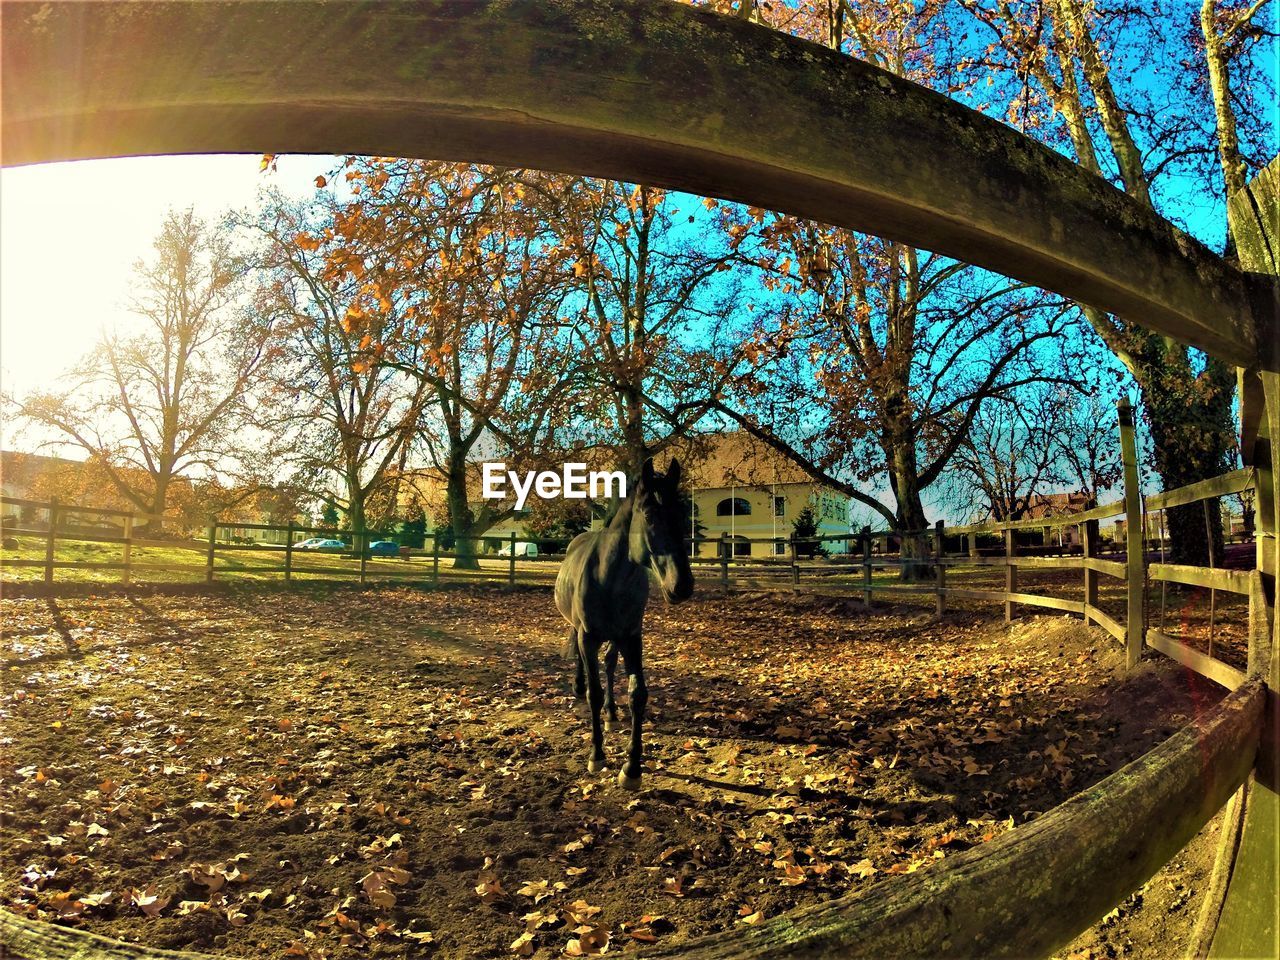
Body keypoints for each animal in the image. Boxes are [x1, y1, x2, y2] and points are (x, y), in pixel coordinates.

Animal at [555, 458, 696, 788]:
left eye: (682, 514)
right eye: (649, 514)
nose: (682, 585)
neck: (609, 577)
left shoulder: (632, 637)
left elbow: (637, 694)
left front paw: (632, 767)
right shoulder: (588, 636)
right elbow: (594, 692)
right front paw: (597, 755)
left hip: (617, 637)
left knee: (608, 665)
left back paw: (611, 713)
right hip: (580, 630)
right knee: (583, 662)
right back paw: (579, 687)